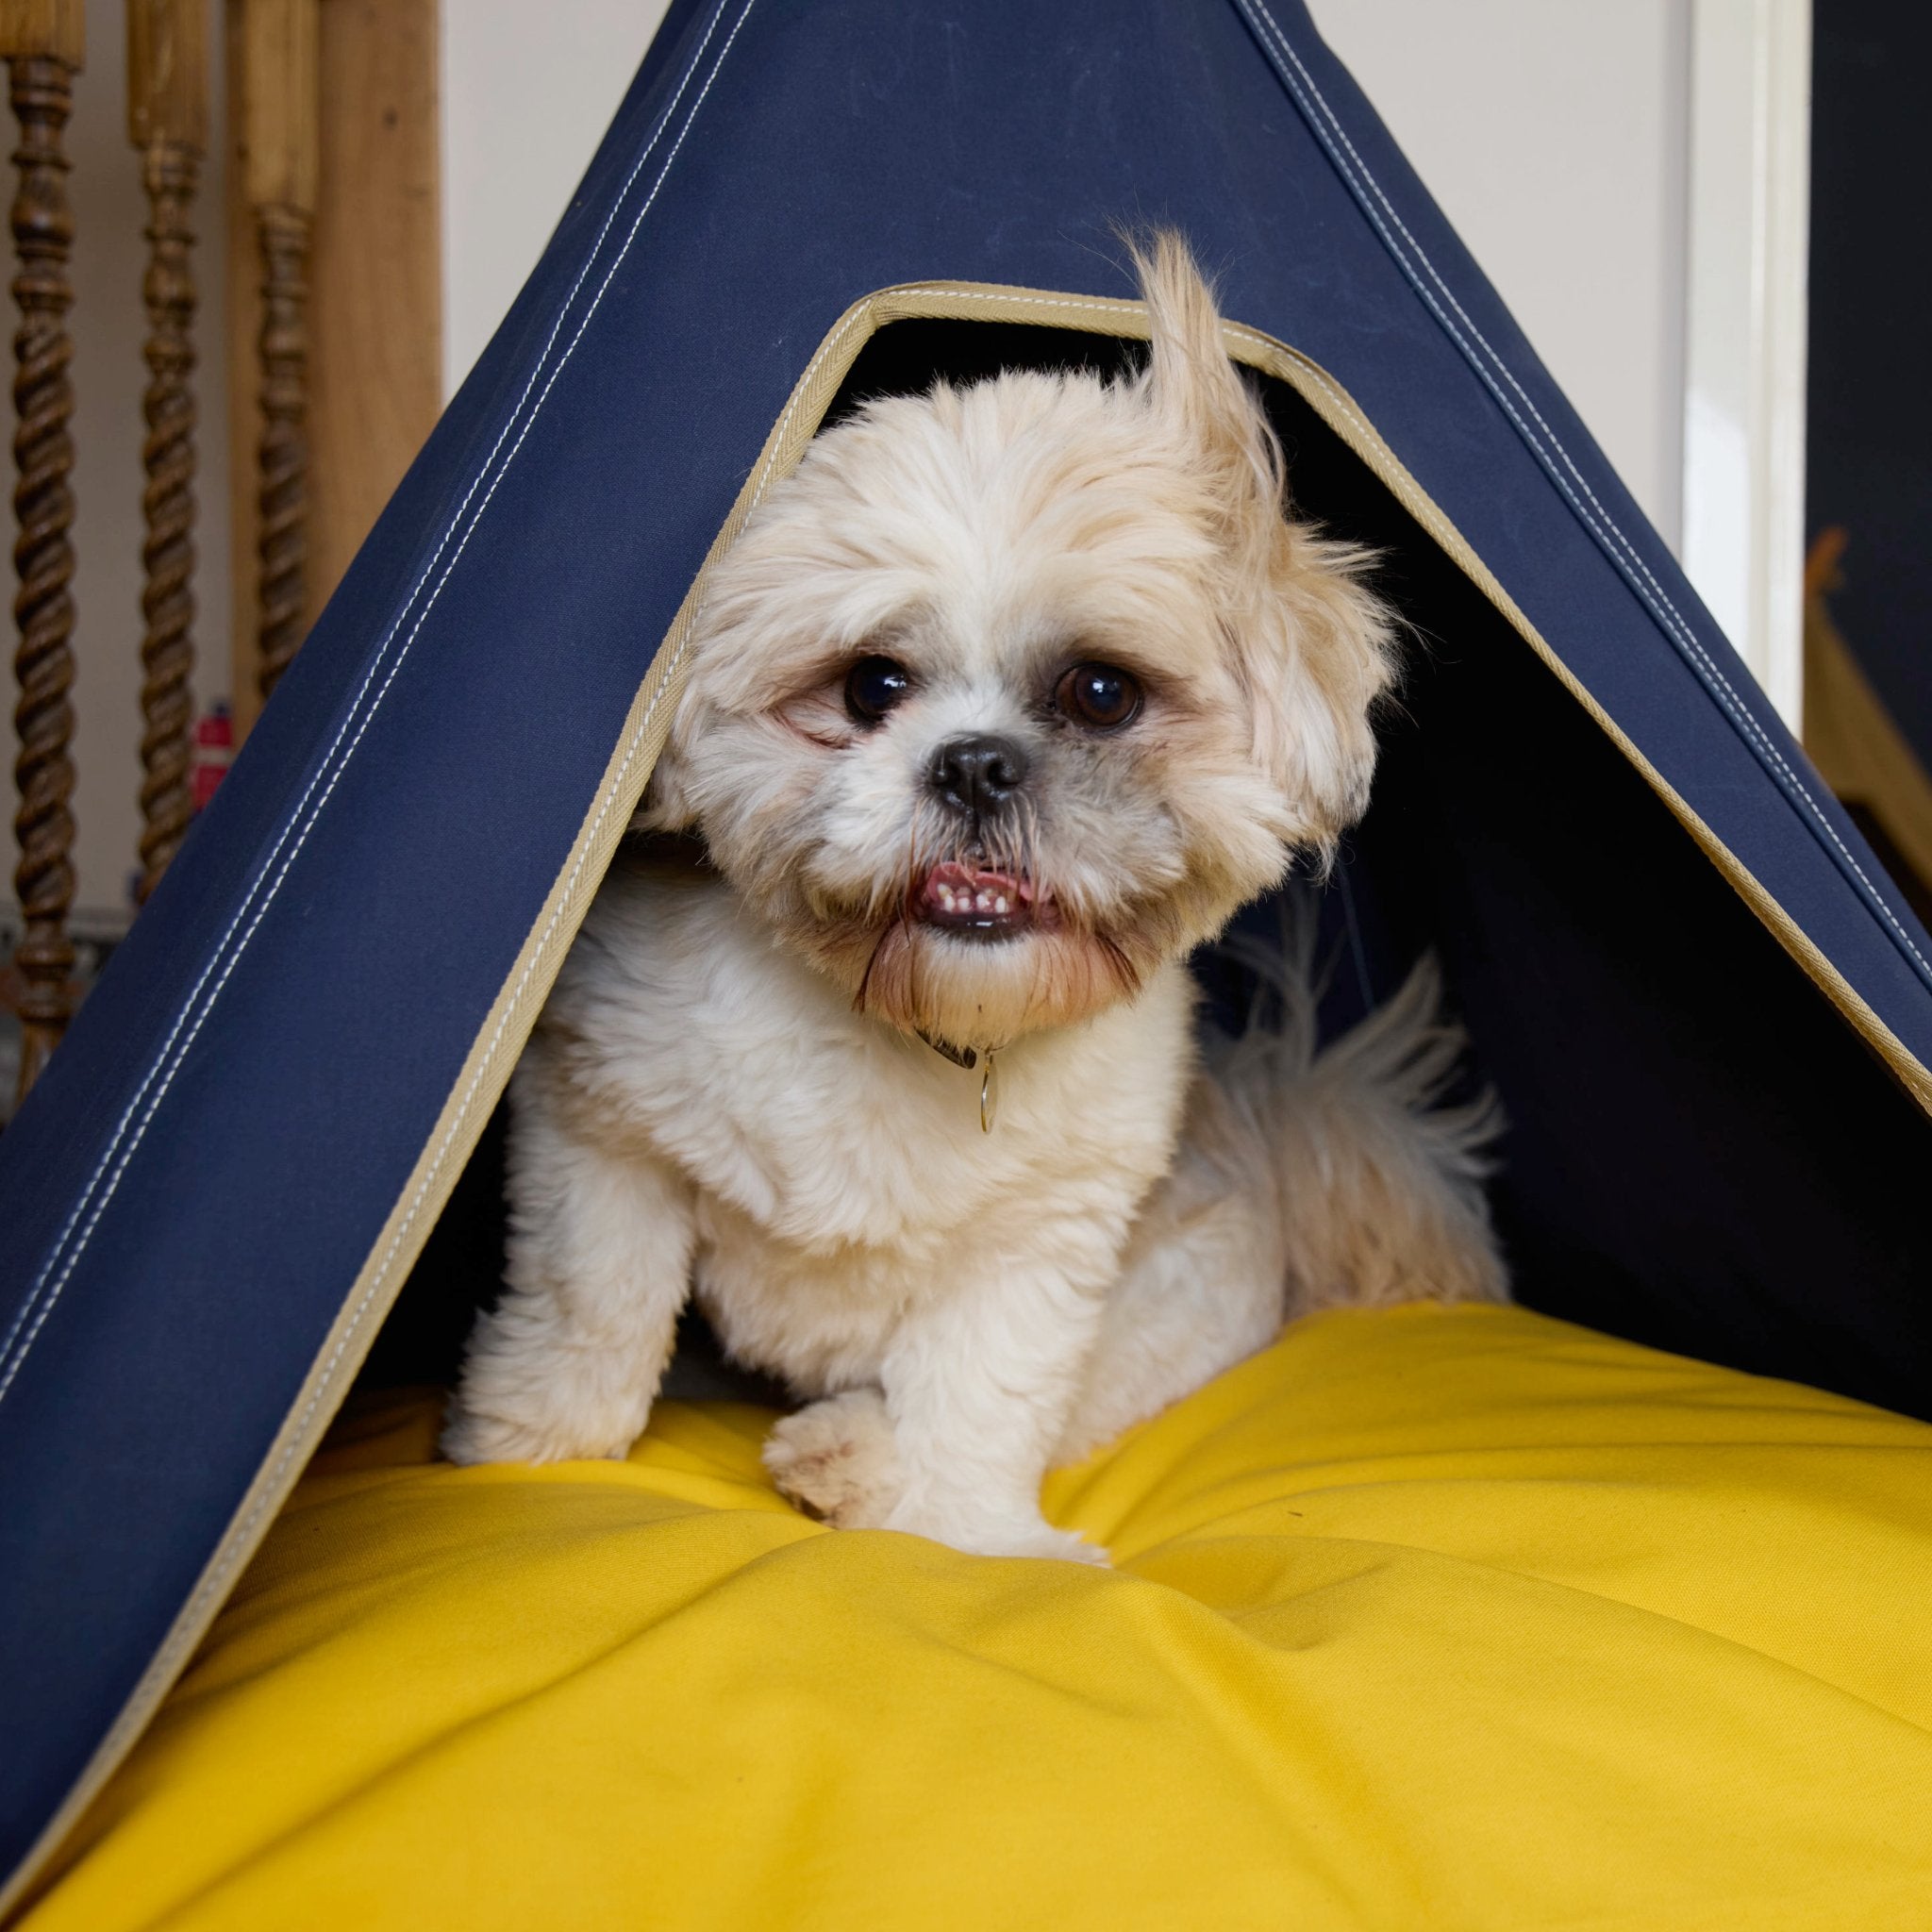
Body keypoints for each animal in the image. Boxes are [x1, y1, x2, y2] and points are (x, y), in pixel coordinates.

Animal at [444, 233, 1499, 1560]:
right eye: (869, 685)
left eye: (1101, 692)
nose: (975, 762)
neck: (923, 1032)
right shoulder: (598, 1128)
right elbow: (595, 1305)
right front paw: (532, 1444)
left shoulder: (1040, 1248)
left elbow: (976, 1399)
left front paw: (960, 1530)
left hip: (1171, 1304)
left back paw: (846, 1457)